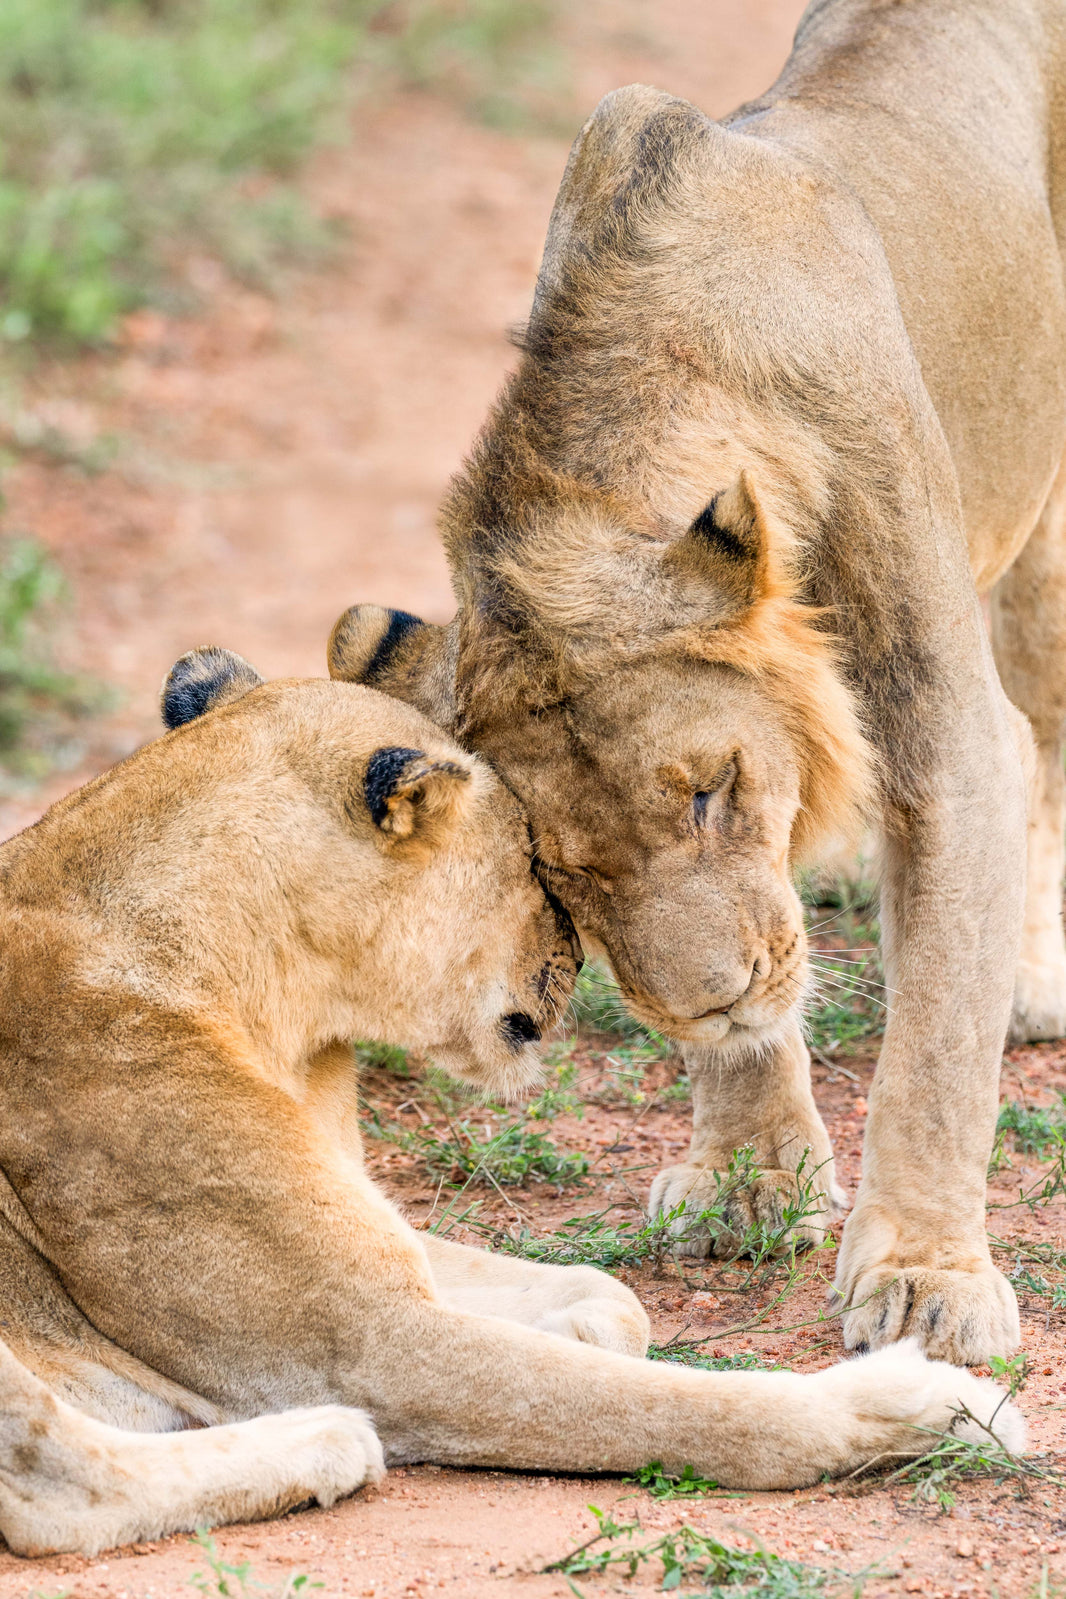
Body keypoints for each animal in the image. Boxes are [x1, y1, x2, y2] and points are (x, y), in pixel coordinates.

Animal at [0, 640, 1020, 1557]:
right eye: (538, 864)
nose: (579, 954)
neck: (283, 1014)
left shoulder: (379, 1246)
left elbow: (609, 1297)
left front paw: (581, 1323)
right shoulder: (359, 1346)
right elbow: (676, 1405)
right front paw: (937, 1405)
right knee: (55, 1484)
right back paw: (321, 1440)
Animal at [327, 0, 1066, 1367]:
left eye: (714, 791)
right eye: (562, 877)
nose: (706, 1003)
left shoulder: (943, 728)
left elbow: (938, 1039)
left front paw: (925, 1279)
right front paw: (746, 1180)